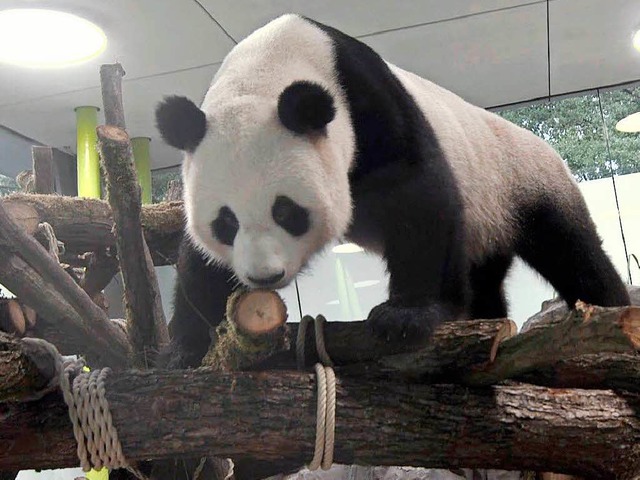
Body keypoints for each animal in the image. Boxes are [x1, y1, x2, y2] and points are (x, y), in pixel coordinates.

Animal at [156, 14, 632, 368]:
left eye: (287, 211)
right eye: (225, 222)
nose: (264, 276)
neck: (269, 66)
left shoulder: (367, 98)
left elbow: (416, 191)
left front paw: (404, 317)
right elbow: (198, 259)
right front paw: (187, 346)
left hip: (523, 180)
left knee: (573, 252)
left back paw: (611, 312)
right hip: (487, 218)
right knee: (483, 276)